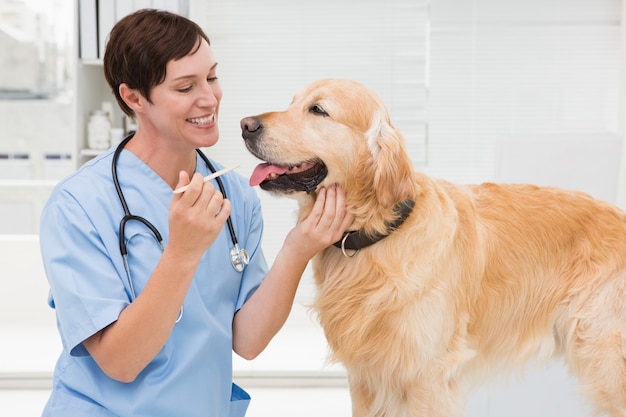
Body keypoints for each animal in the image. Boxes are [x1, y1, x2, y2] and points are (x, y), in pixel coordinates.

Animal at [239, 79, 624, 416]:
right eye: (292, 102)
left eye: (318, 110)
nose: (245, 125)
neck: (378, 233)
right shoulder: (365, 378)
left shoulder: (427, 376)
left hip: (605, 357)